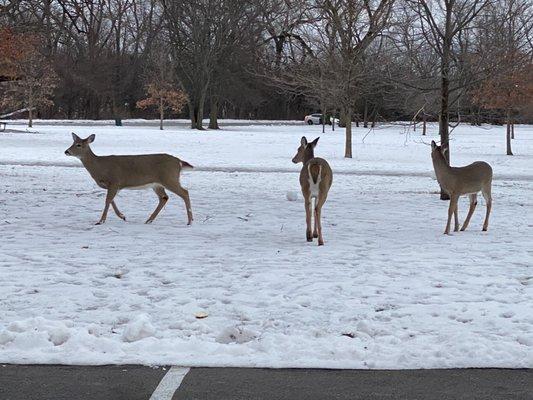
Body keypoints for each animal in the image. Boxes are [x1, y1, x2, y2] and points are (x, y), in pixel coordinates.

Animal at [64, 134, 193, 225]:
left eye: (79, 145)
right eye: (73, 142)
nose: (66, 151)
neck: (100, 167)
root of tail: (179, 162)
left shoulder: (114, 181)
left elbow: (107, 200)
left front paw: (101, 221)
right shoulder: (114, 186)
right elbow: (111, 200)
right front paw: (122, 216)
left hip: (169, 178)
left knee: (185, 192)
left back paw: (190, 221)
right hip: (157, 184)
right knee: (164, 198)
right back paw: (149, 220)